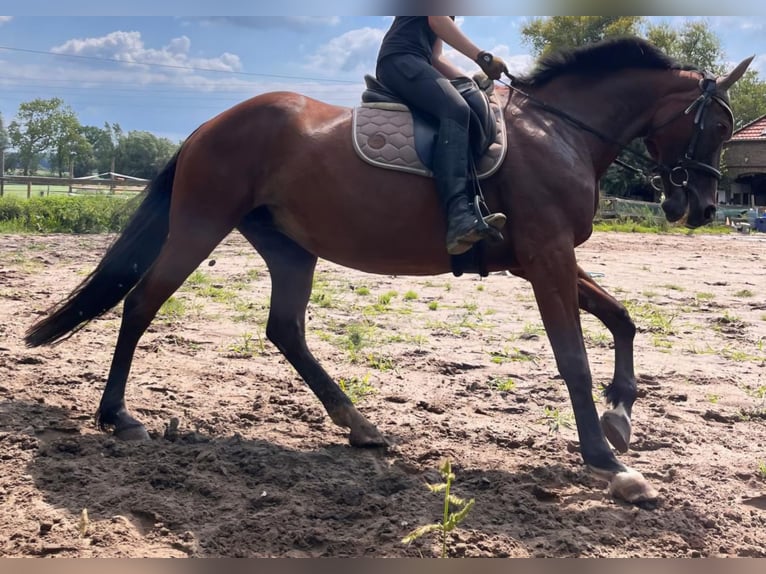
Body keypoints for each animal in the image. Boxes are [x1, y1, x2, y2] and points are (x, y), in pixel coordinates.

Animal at [24, 37, 752, 505]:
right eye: (718, 126)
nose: (700, 207)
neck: (560, 132)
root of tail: (210, 125)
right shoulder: (546, 255)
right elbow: (572, 356)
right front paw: (608, 460)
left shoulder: (538, 257)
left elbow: (622, 319)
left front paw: (619, 416)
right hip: (202, 224)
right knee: (142, 305)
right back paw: (118, 416)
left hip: (289, 246)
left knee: (284, 329)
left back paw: (360, 424)